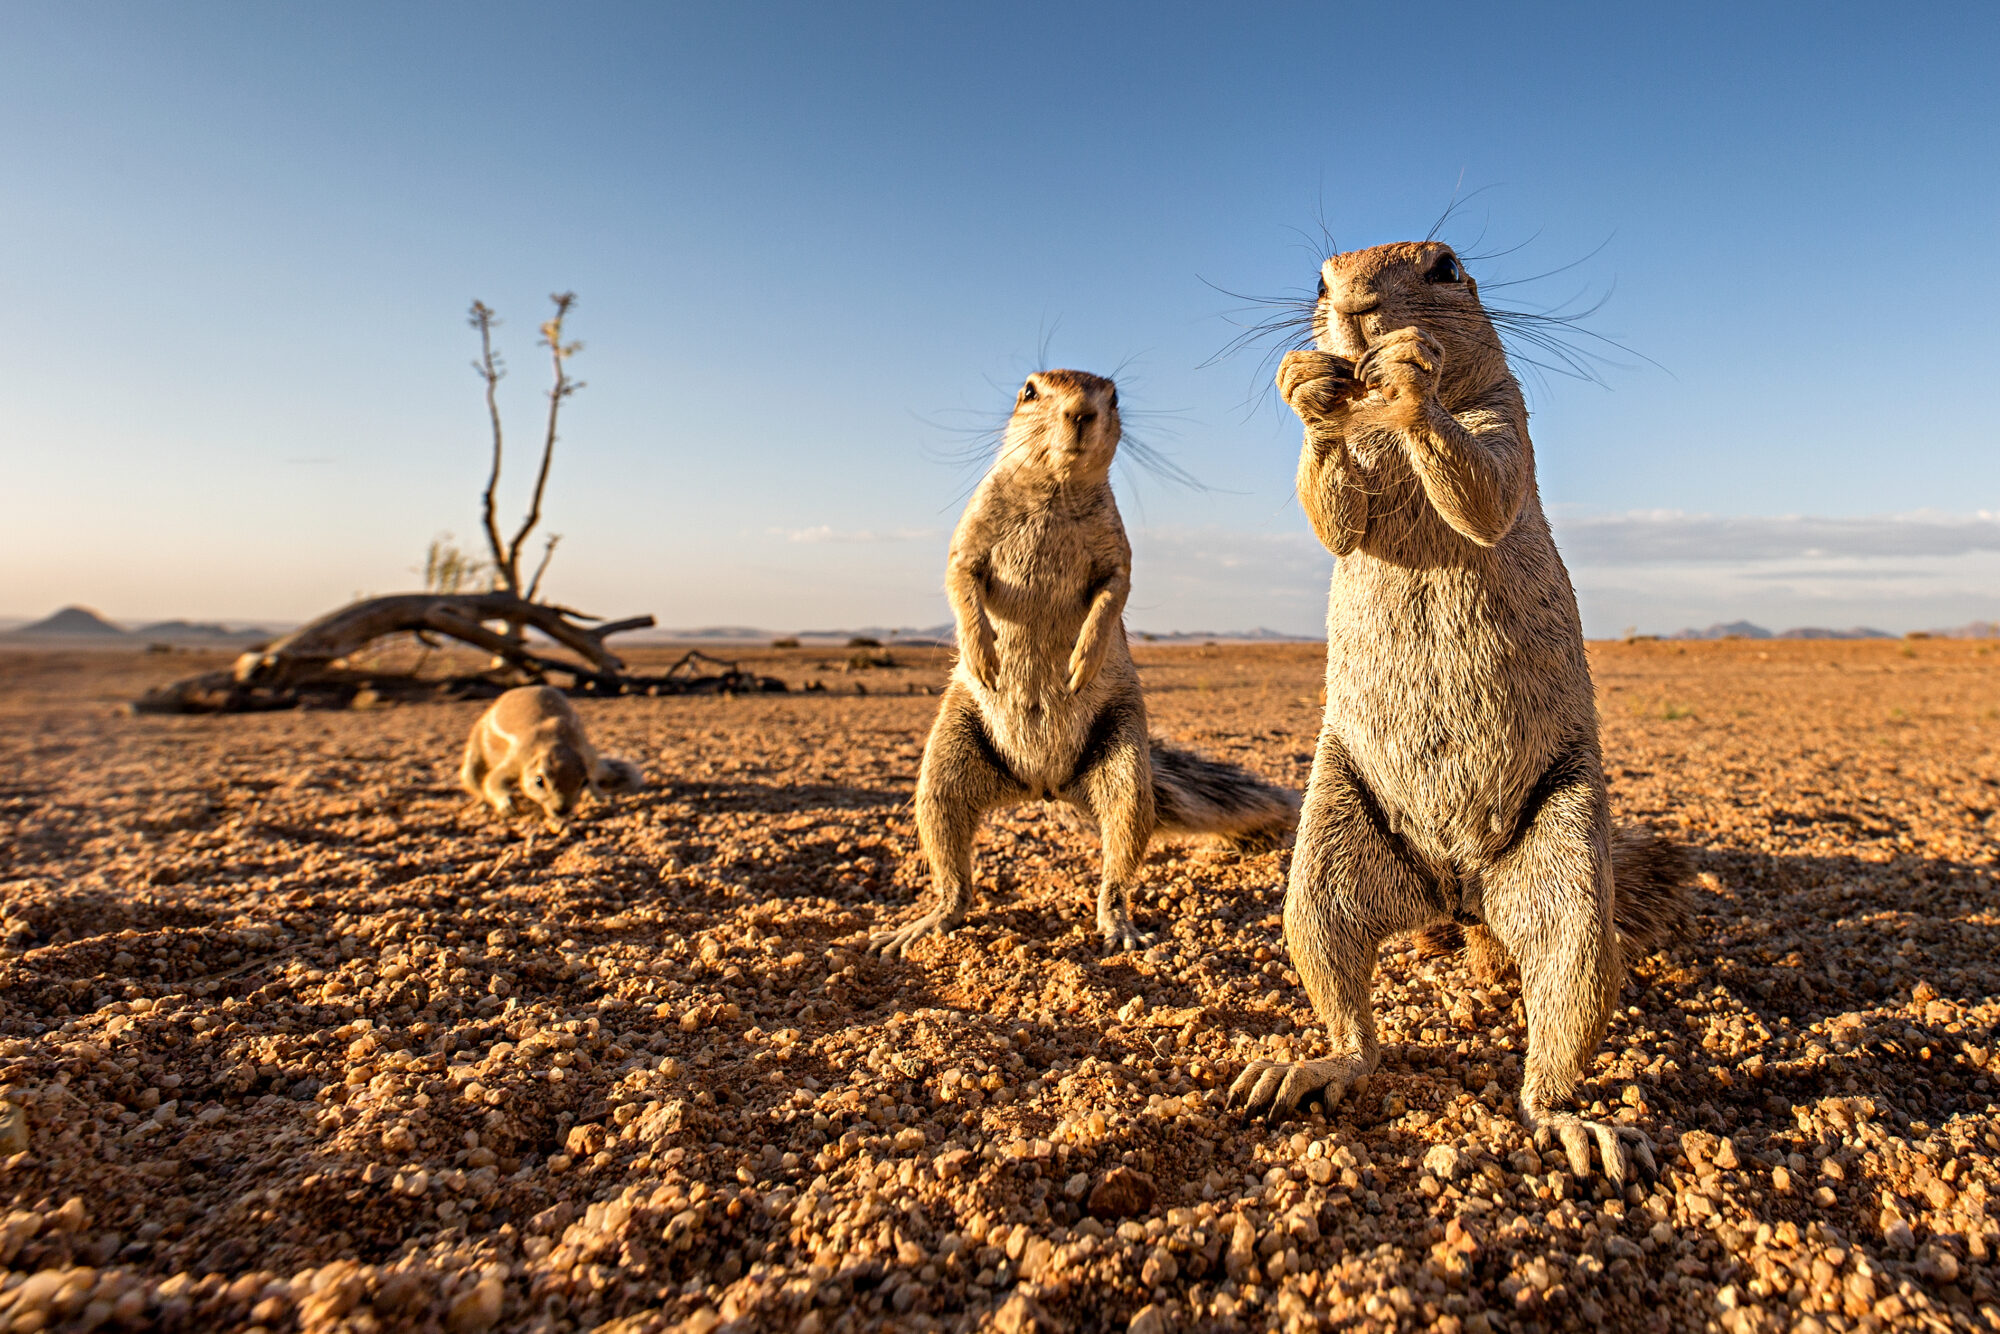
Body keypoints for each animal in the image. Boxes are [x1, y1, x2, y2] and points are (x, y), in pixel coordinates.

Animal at [458, 688, 640, 836]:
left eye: (583, 782)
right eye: (539, 781)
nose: (562, 810)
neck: (553, 742)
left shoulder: (586, 754)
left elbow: (594, 782)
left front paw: (598, 796)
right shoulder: (517, 758)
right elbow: (492, 781)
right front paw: (508, 806)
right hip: (477, 739)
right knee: (472, 776)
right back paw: (481, 801)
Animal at [876, 368, 1296, 960]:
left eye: (1114, 396)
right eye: (1029, 391)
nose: (1080, 412)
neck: (1056, 491)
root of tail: (1041, 784)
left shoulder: (1117, 553)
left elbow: (1112, 597)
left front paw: (1082, 660)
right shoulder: (970, 535)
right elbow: (960, 579)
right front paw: (982, 653)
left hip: (1126, 770)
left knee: (1116, 870)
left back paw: (1120, 927)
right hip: (943, 769)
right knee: (954, 877)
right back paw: (925, 922)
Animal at [1232, 243, 1688, 1192]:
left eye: (1444, 267)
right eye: (1317, 280)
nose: (1354, 305)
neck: (1382, 433)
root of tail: (1457, 889)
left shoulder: (1506, 417)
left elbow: (1485, 491)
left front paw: (1410, 373)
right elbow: (1336, 517)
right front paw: (1308, 388)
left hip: (1572, 887)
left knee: (1552, 1040)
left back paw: (1577, 1126)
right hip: (1321, 872)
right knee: (1358, 1034)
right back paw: (1301, 1069)